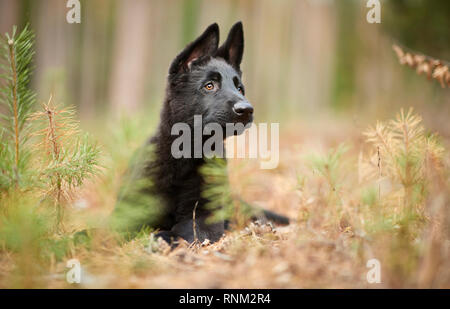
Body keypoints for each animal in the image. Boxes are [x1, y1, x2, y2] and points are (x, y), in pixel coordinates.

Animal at [112, 21, 288, 244]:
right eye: (209, 86)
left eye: (239, 89)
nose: (247, 109)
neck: (185, 156)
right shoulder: (126, 214)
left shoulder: (204, 221)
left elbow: (180, 232)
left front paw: (161, 237)